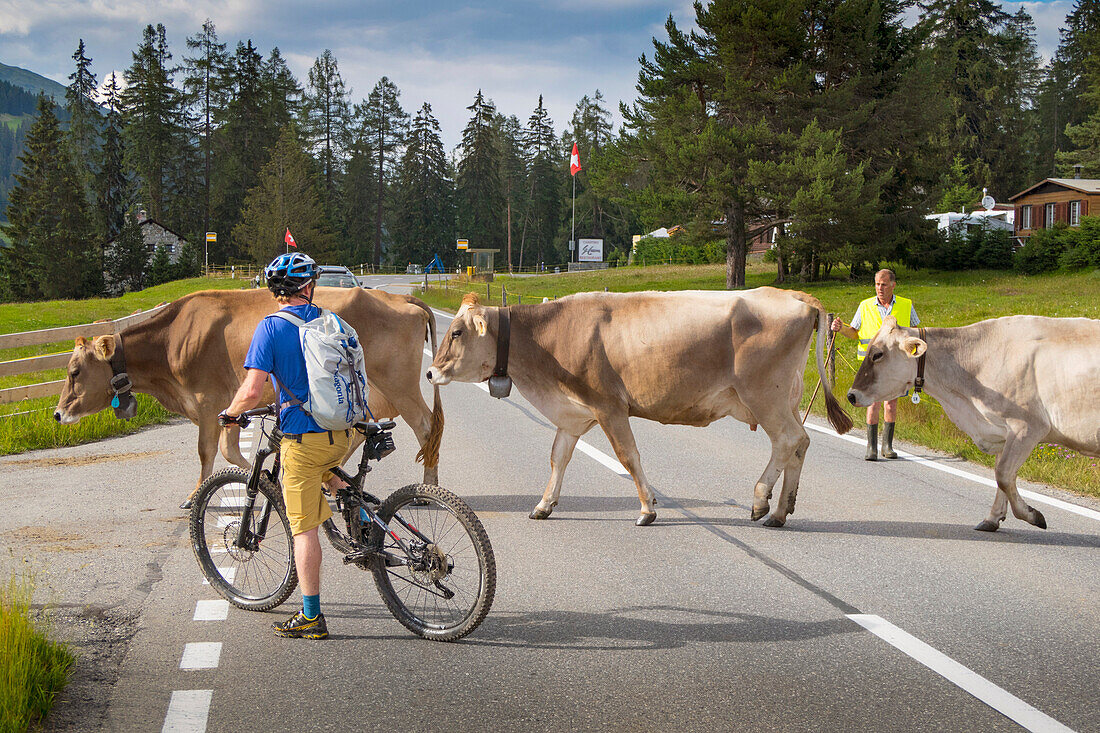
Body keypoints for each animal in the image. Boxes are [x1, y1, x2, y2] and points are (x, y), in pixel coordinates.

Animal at [54, 288, 442, 499]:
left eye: (74, 372)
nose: (58, 414)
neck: (171, 340)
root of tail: (400, 296)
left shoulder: (207, 400)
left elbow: (207, 450)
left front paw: (195, 494)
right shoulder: (227, 403)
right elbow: (229, 450)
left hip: (399, 383)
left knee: (426, 427)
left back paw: (427, 488)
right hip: (372, 390)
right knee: (365, 431)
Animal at [426, 286, 849, 526]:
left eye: (457, 332)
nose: (430, 372)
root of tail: (795, 295)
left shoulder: (609, 406)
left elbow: (628, 456)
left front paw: (648, 509)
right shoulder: (573, 413)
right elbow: (558, 457)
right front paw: (544, 505)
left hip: (764, 395)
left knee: (787, 441)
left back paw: (762, 502)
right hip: (786, 397)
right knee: (800, 443)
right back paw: (780, 511)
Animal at [849, 314, 1100, 530]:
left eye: (878, 354)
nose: (851, 395)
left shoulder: (1027, 426)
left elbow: (1003, 474)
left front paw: (1032, 515)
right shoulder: (1003, 431)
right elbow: (1002, 477)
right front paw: (992, 518)